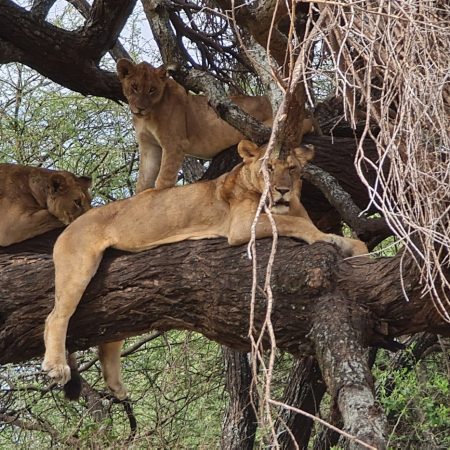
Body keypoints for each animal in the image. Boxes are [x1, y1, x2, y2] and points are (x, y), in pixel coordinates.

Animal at [41, 139, 366, 400]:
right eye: (268, 168)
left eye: (294, 169)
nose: (283, 191)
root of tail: (69, 226)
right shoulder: (241, 226)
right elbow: (297, 224)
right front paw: (327, 238)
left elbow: (345, 238)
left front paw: (357, 249)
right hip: (79, 265)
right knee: (56, 316)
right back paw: (56, 366)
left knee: (110, 331)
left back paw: (116, 385)